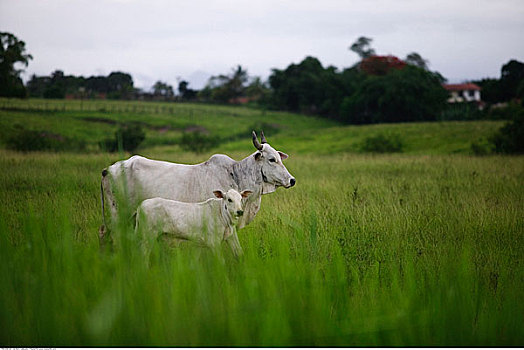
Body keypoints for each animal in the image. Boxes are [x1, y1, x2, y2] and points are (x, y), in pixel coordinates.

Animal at [100, 131, 292, 243]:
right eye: (271, 159)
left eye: (279, 158)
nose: (292, 180)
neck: (235, 174)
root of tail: (108, 169)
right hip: (120, 214)